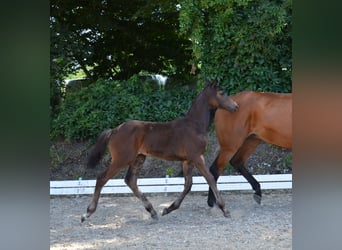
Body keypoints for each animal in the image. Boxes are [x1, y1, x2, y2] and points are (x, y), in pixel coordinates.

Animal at [81, 79, 239, 222]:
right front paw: (225, 209)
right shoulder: (196, 157)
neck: (194, 126)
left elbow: (188, 185)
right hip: (122, 159)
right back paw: (87, 213)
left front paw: (168, 209)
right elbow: (210, 178)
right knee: (102, 178)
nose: (235, 107)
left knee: (130, 180)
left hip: (139, 158)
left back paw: (152, 211)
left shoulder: (187, 160)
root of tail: (114, 130)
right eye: (221, 93)